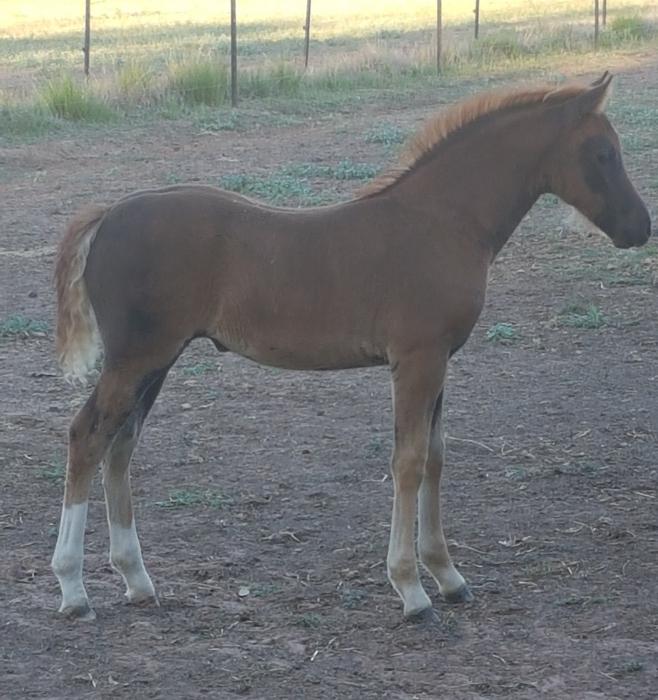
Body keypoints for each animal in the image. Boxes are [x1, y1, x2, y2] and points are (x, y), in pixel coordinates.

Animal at [51, 72, 651, 621]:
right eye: (603, 154)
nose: (640, 227)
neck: (442, 221)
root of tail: (108, 215)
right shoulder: (416, 360)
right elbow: (408, 461)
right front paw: (411, 589)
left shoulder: (440, 362)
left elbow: (436, 457)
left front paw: (448, 576)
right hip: (137, 358)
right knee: (87, 436)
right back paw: (73, 588)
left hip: (157, 360)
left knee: (121, 443)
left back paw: (136, 579)